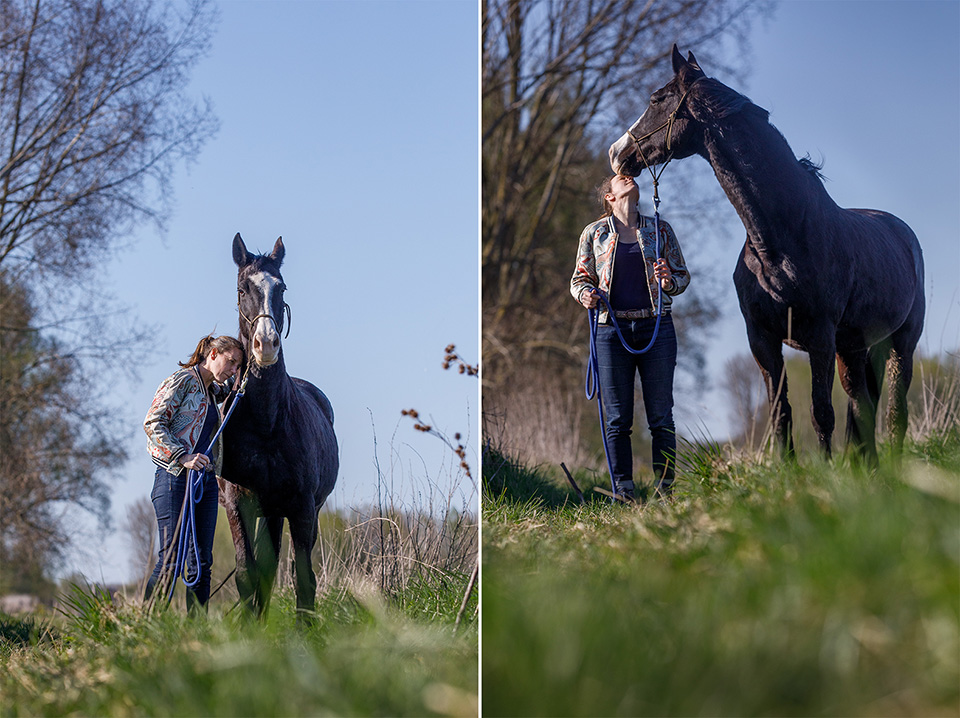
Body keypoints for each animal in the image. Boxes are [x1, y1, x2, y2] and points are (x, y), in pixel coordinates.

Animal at [219, 233, 339, 618]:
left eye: (281, 287)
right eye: (242, 288)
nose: (266, 344)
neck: (266, 423)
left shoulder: (302, 508)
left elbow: (303, 578)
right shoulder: (238, 505)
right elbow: (247, 574)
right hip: (267, 512)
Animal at [608, 45, 925, 462]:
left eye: (657, 99)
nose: (616, 153)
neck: (777, 243)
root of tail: (903, 232)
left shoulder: (820, 337)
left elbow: (820, 413)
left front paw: (827, 474)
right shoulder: (761, 338)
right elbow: (781, 413)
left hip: (900, 343)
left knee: (893, 411)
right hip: (858, 348)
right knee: (863, 407)